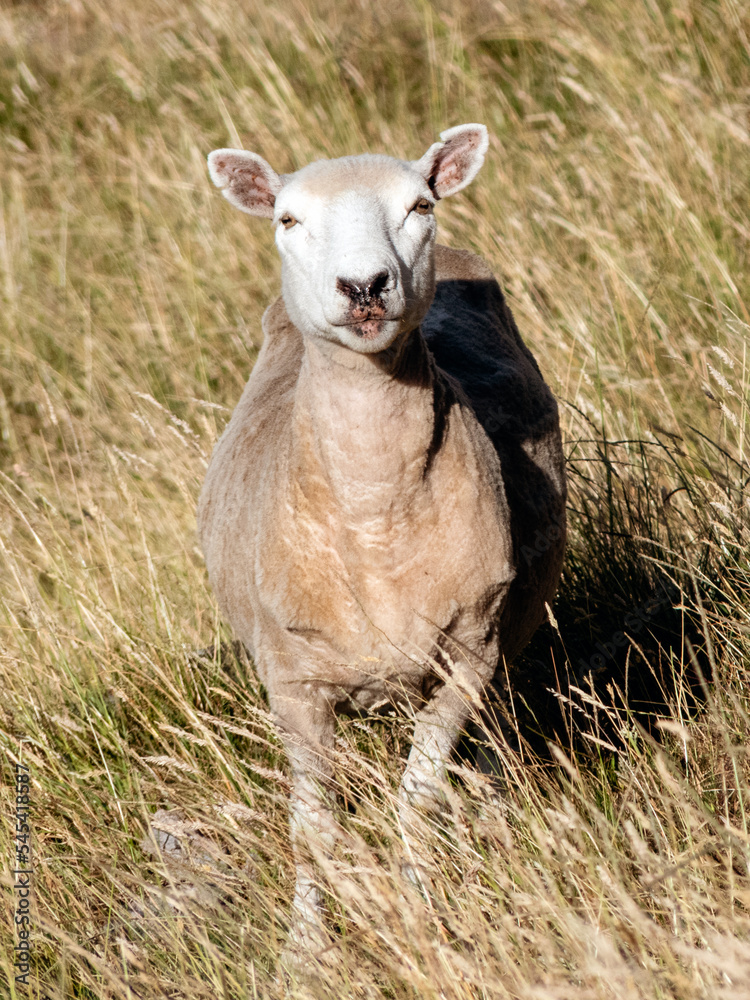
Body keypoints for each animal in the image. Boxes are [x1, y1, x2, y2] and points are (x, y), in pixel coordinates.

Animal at [199, 125, 566, 957]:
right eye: (288, 219)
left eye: (419, 205)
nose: (363, 285)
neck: (374, 519)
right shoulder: (293, 682)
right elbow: (313, 830)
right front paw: (307, 951)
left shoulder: (467, 655)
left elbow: (418, 799)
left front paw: (420, 909)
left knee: (491, 750)